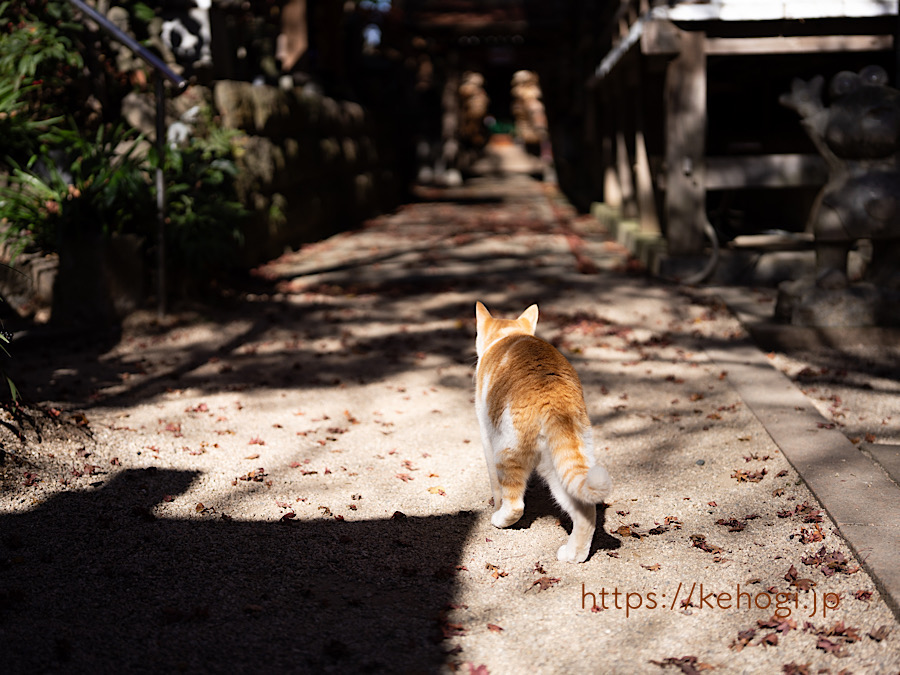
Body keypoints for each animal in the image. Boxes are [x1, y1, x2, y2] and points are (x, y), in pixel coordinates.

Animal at [474, 304, 608, 564]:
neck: (508, 335)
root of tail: (553, 398)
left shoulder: (486, 437)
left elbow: (496, 488)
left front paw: (495, 507)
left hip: (507, 452)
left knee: (515, 505)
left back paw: (499, 519)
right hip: (559, 467)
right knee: (586, 511)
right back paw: (573, 555)